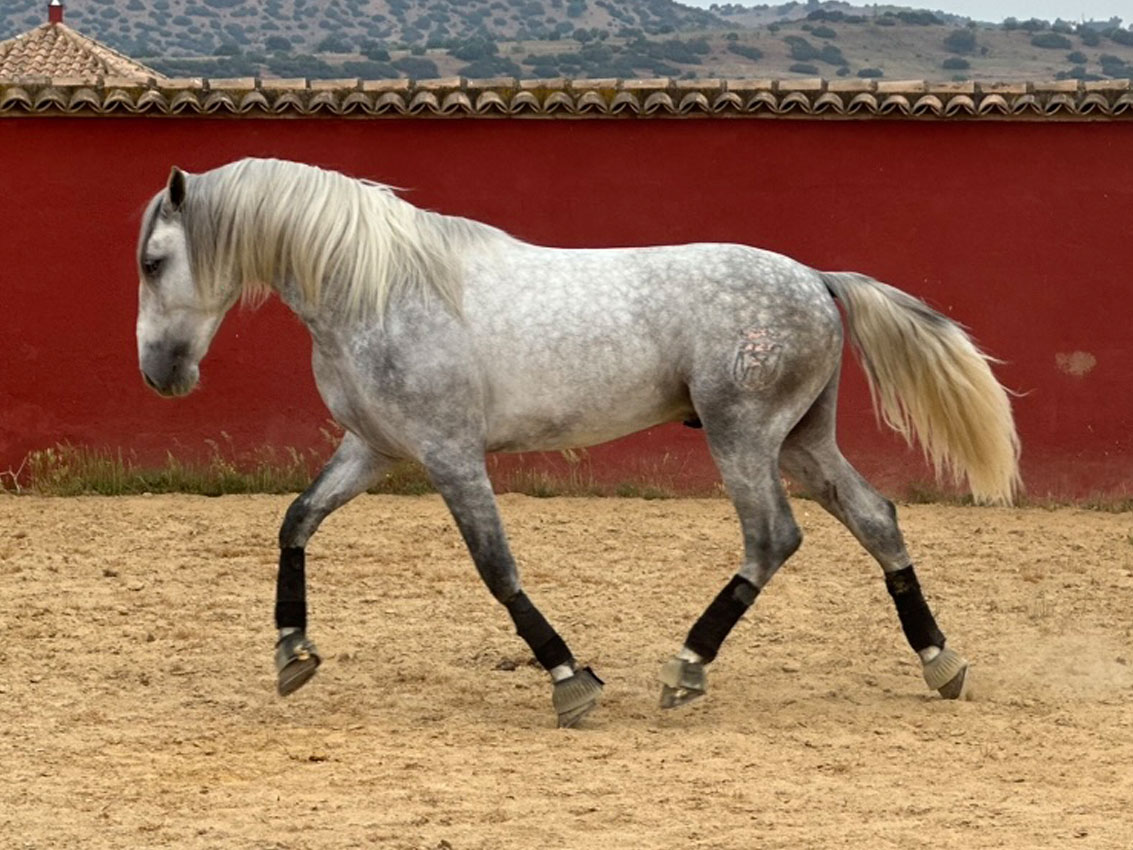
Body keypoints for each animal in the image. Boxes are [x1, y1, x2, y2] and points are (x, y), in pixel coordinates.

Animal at [137, 156, 1024, 729]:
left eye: (152, 261)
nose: (159, 373)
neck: (379, 289)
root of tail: (814, 276)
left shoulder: (450, 456)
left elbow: (496, 568)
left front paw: (571, 680)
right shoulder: (374, 449)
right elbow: (296, 521)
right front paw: (292, 654)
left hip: (743, 434)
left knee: (771, 537)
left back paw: (685, 668)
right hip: (801, 440)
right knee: (875, 518)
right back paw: (939, 662)